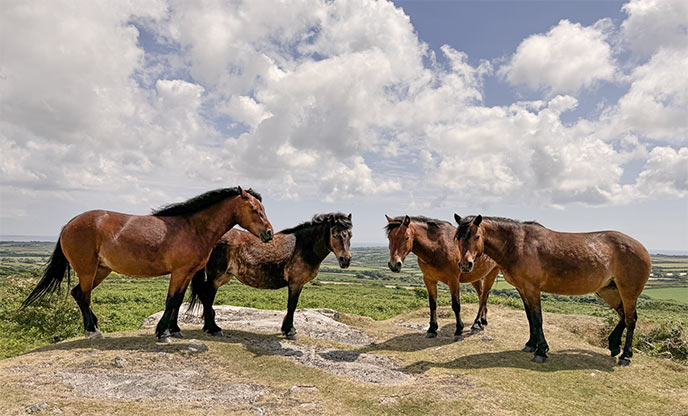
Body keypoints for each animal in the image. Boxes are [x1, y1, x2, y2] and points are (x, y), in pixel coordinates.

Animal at [21, 188, 274, 342]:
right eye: (254, 210)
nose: (269, 234)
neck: (193, 228)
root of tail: (69, 224)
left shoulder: (186, 273)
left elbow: (178, 300)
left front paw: (174, 330)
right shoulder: (179, 272)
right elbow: (171, 301)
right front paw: (162, 332)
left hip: (101, 270)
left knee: (77, 293)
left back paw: (93, 326)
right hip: (87, 270)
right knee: (83, 296)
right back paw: (92, 331)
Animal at [187, 213, 352, 340]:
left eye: (350, 234)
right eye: (334, 234)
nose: (345, 260)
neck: (303, 247)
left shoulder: (298, 284)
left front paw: (287, 329)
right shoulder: (295, 283)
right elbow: (292, 306)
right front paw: (289, 331)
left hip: (224, 276)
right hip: (216, 276)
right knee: (207, 297)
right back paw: (213, 328)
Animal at [454, 214, 652, 364]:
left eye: (477, 236)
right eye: (458, 237)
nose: (465, 265)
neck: (518, 244)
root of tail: (642, 248)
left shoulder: (533, 289)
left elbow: (538, 319)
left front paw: (541, 351)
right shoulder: (522, 289)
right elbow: (530, 318)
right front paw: (531, 344)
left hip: (628, 292)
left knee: (631, 319)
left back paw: (626, 356)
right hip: (608, 290)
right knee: (623, 315)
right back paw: (614, 345)